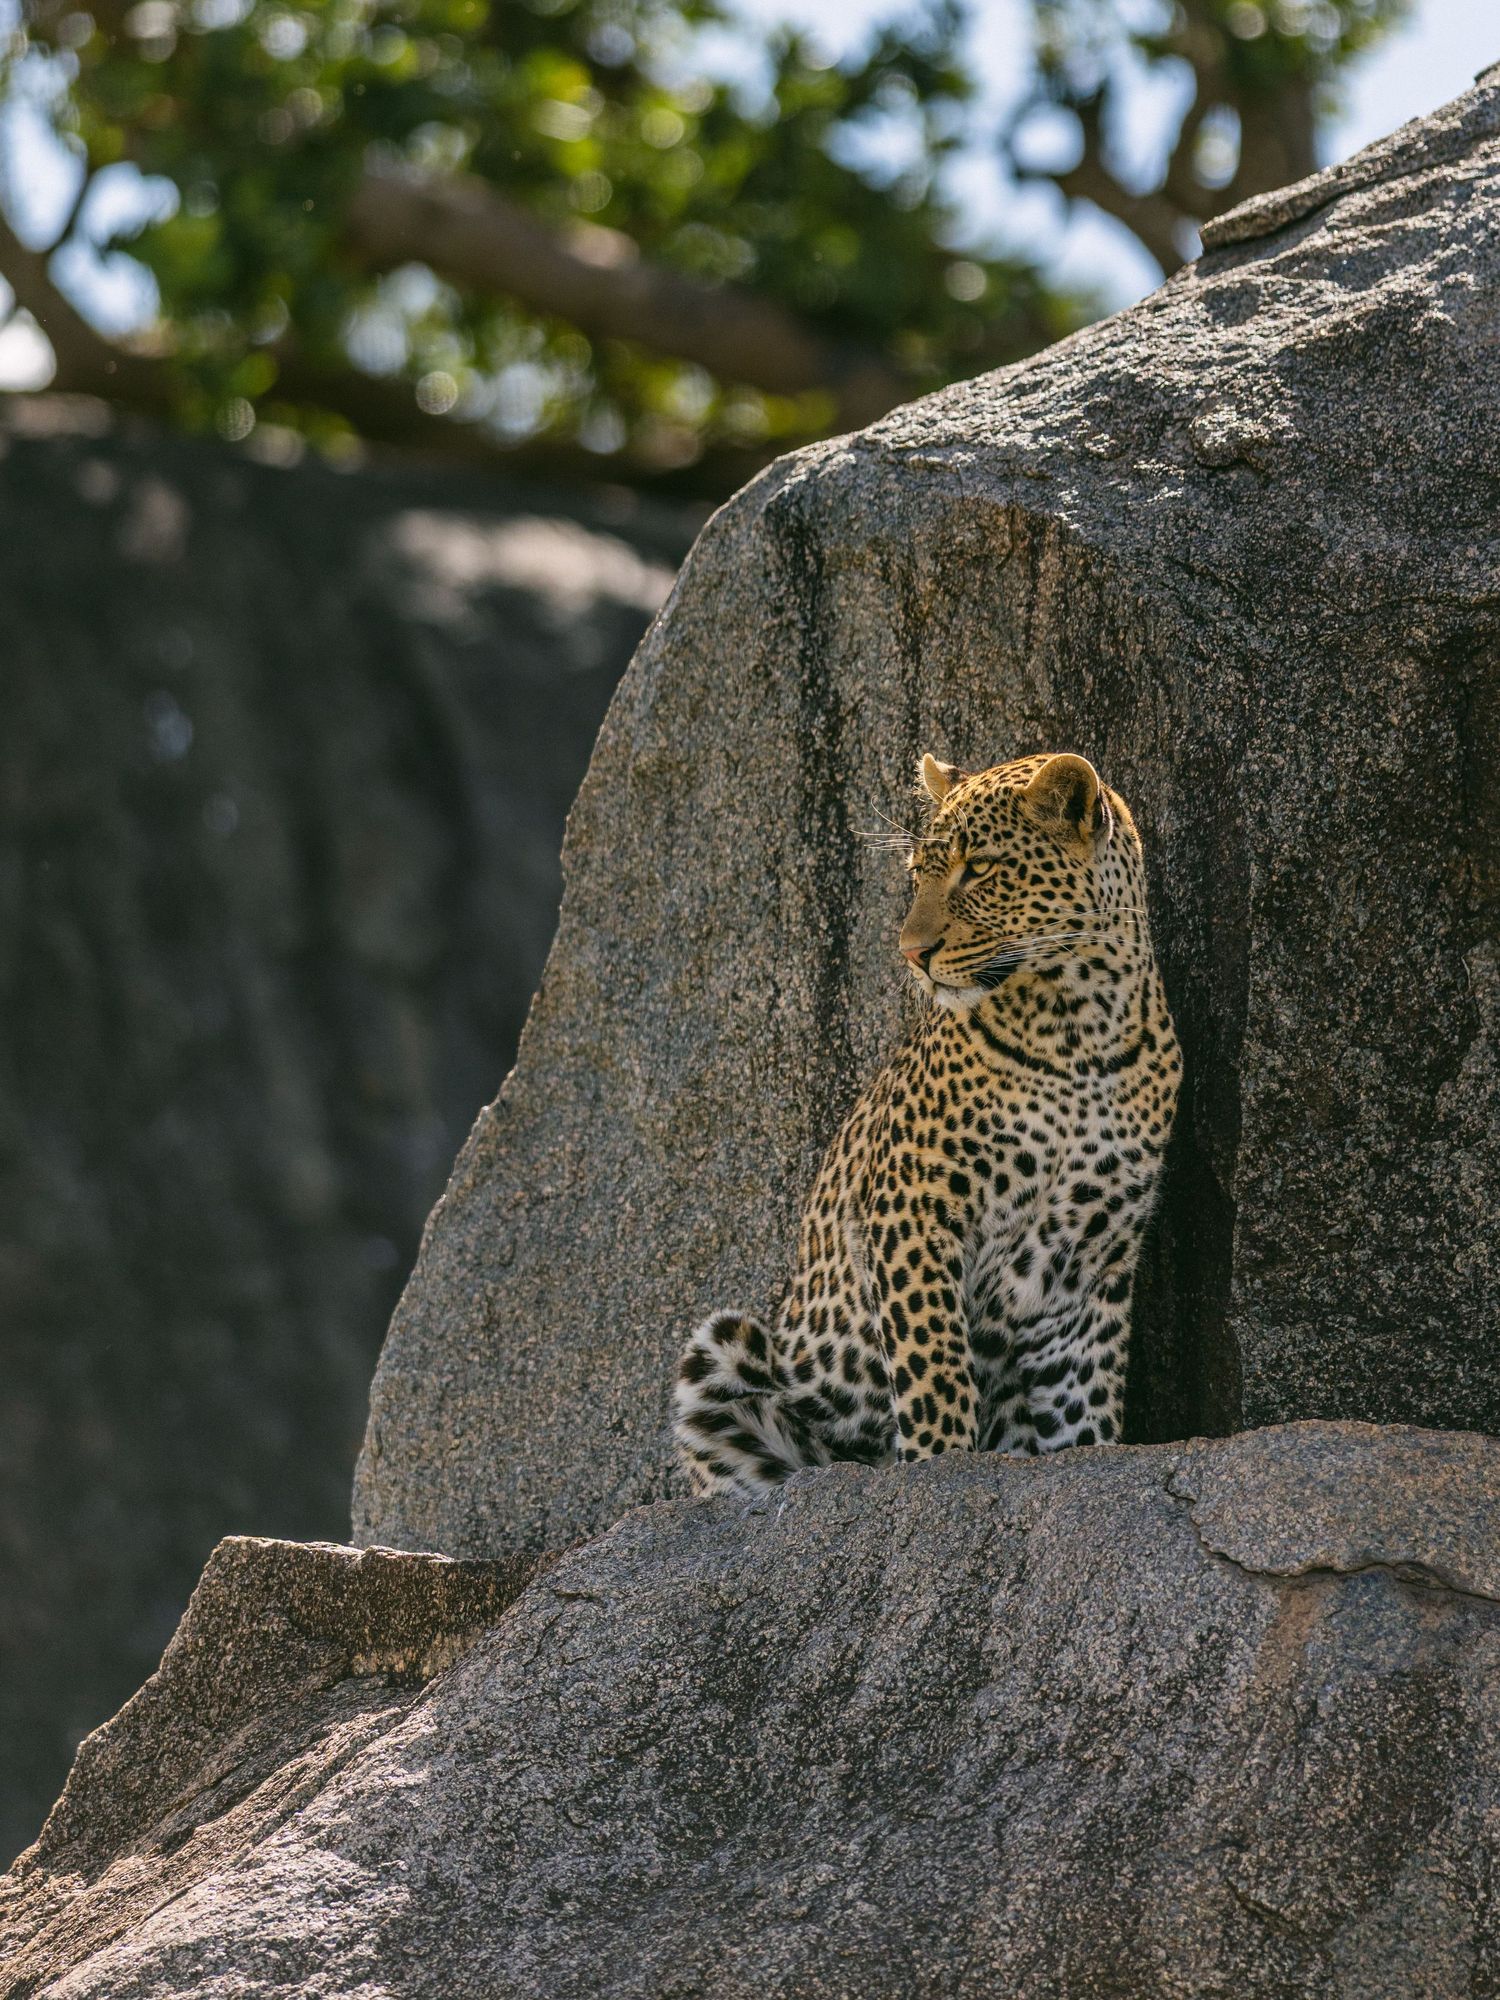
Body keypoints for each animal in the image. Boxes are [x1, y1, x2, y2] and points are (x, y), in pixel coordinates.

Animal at [672, 748, 1181, 1498]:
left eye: (981, 869)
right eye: (919, 873)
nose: (912, 953)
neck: (1080, 1023)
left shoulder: (1092, 1257)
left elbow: (1080, 1395)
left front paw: (1085, 1465)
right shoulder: (912, 1207)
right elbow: (933, 1359)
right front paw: (940, 1468)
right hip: (723, 1352)